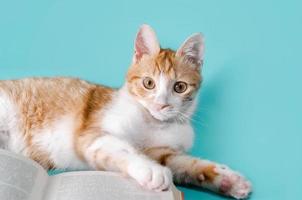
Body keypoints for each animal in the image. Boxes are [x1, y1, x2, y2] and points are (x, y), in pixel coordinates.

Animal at [0, 24, 250, 198]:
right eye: (149, 83)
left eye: (179, 87)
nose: (162, 104)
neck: (153, 124)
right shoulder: (92, 134)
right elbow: (123, 148)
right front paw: (151, 171)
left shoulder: (161, 151)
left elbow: (187, 164)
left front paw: (228, 179)